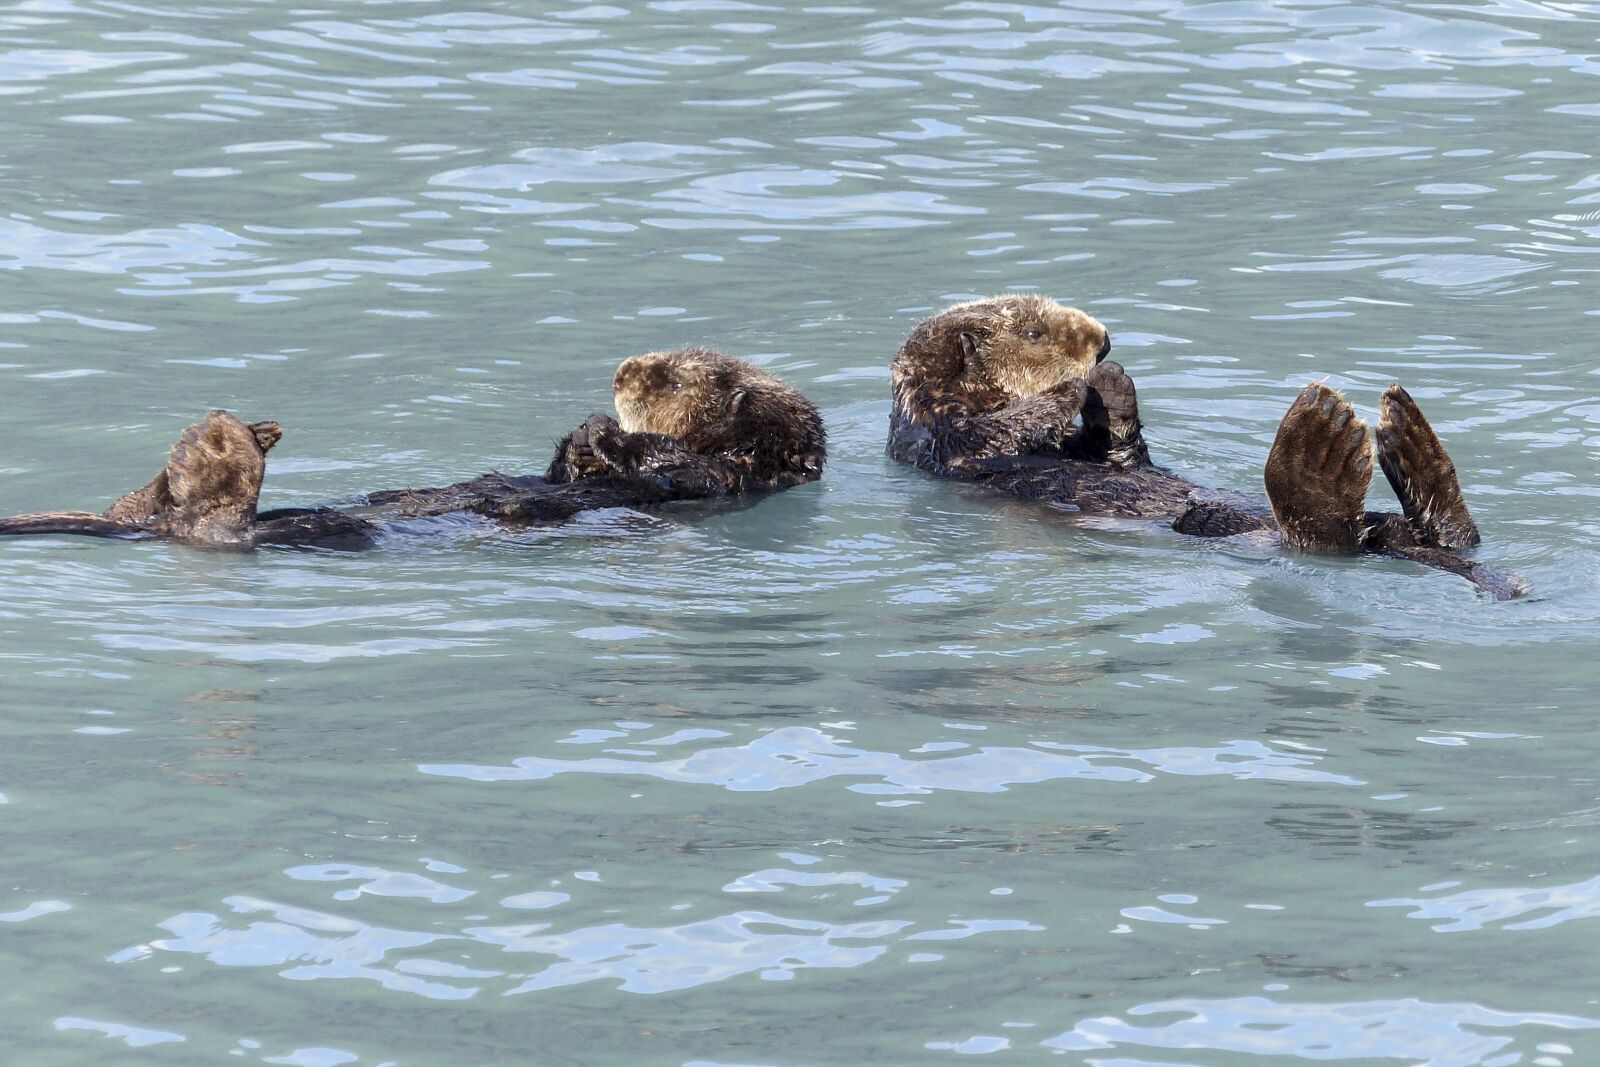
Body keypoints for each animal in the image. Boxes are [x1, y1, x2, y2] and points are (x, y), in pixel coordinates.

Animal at [888, 295, 1528, 599]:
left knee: (1446, 533)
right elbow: (997, 429)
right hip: (1223, 525)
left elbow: (1118, 453)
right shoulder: (949, 442)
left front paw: (1113, 387)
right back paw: (1322, 450)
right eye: (1032, 332)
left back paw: (1409, 439)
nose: (1104, 342)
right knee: (1328, 538)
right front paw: (1071, 387)